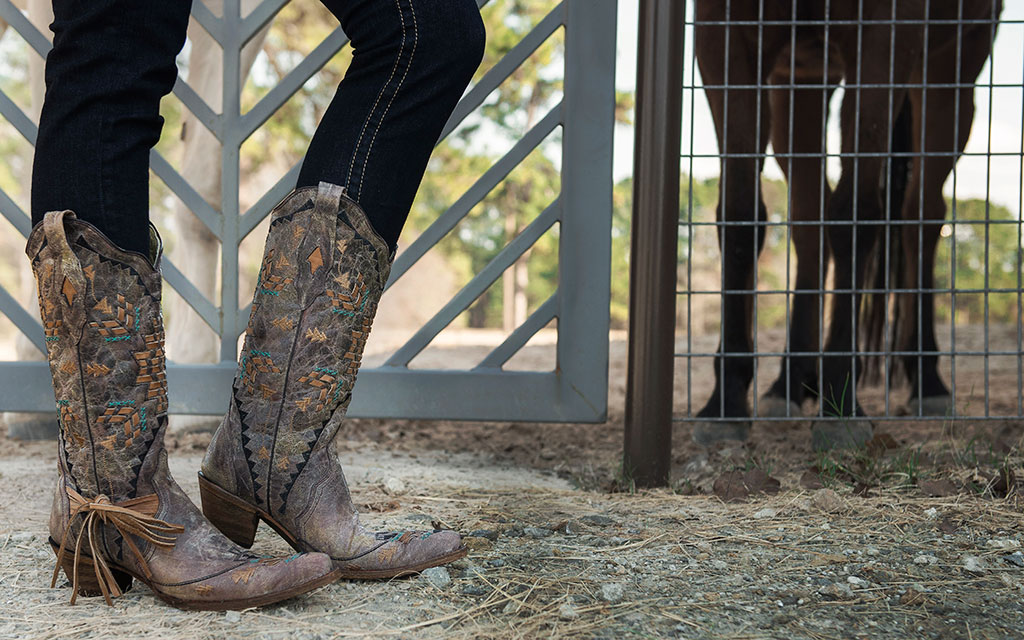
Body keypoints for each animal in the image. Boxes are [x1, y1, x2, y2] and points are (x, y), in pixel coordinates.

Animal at [692, 1, 995, 448]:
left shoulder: (884, 36)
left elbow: (854, 214)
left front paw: (840, 403)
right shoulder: (724, 32)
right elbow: (740, 216)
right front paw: (725, 403)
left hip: (951, 68)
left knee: (920, 218)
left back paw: (928, 381)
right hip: (800, 82)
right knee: (808, 219)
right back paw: (789, 383)